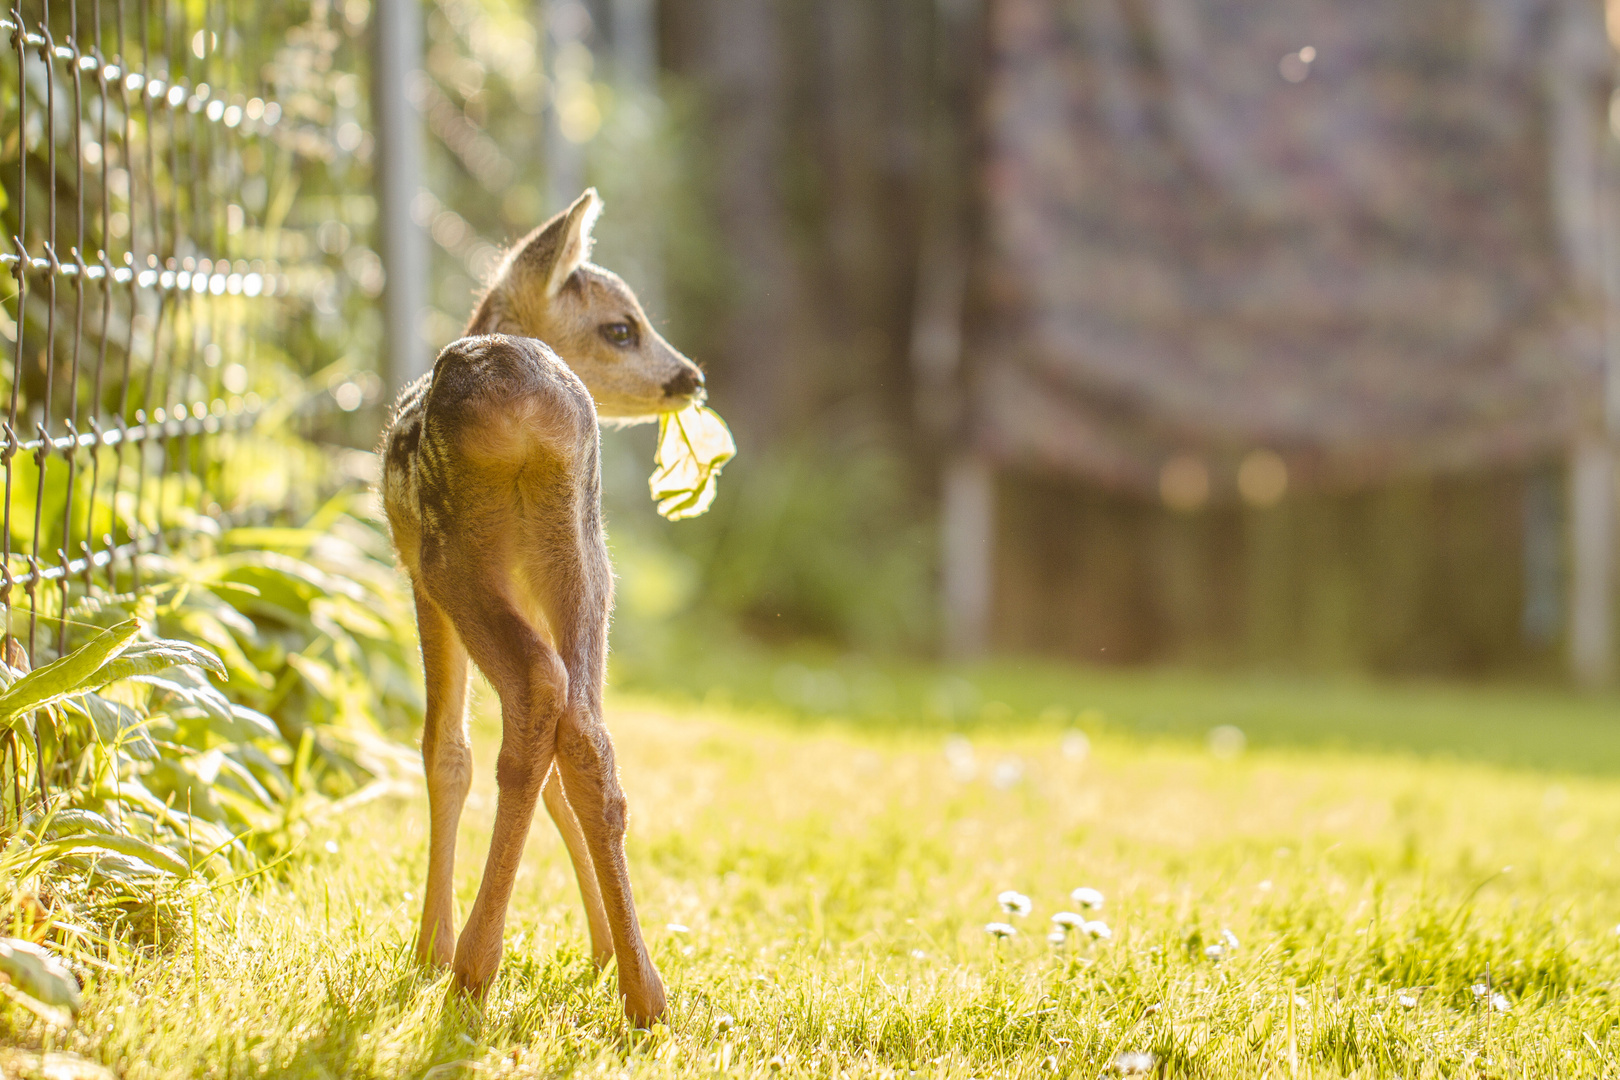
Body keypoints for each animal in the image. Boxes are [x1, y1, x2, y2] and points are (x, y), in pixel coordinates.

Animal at [385, 190, 709, 1029]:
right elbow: (564, 761)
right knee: (586, 730)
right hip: (586, 551)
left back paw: (470, 969)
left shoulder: (414, 573)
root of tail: (521, 395)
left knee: (534, 698)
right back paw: (645, 992)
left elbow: (445, 750)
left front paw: (427, 948)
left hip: (453, 557)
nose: (690, 377)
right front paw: (600, 951)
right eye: (621, 326)